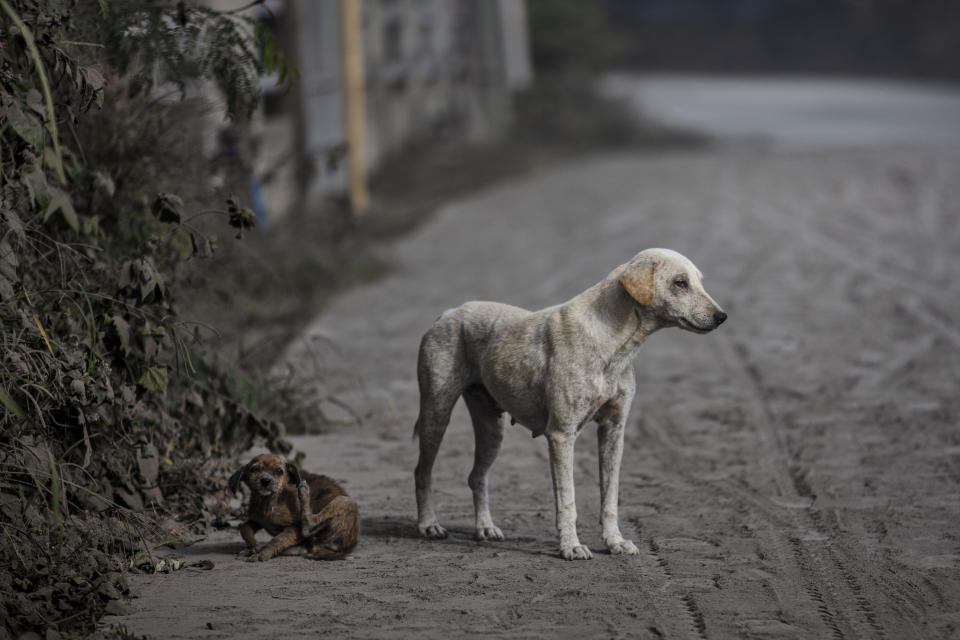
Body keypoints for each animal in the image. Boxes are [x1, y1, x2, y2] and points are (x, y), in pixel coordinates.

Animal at [229, 452, 360, 564]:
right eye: (254, 469)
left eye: (279, 471)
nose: (265, 480)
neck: (267, 502)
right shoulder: (258, 520)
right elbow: (244, 527)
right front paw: (252, 547)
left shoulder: (294, 528)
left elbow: (277, 539)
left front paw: (262, 553)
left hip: (344, 501)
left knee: (308, 526)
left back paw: (304, 493)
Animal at [414, 249, 728, 560]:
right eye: (680, 283)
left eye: (699, 281)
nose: (722, 316)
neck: (612, 341)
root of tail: (448, 313)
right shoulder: (561, 435)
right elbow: (568, 500)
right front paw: (571, 547)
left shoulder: (614, 431)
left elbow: (610, 497)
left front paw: (615, 542)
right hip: (436, 412)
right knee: (422, 472)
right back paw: (429, 525)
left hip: (492, 428)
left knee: (476, 477)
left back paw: (486, 528)